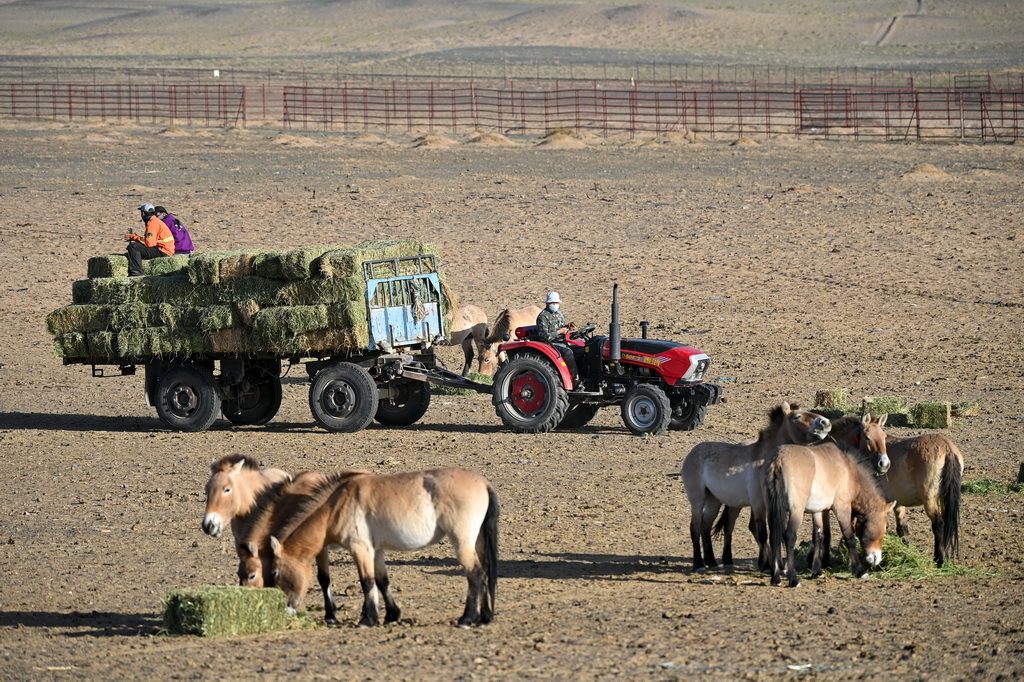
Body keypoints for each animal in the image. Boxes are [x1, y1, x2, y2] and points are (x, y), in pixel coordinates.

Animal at [269, 467, 499, 628]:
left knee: (475, 574)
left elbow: (367, 582)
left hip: (462, 542)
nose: (287, 610)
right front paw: (391, 615)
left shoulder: (360, 549)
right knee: (486, 573)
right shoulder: (376, 551)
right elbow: (382, 581)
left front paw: (367, 620)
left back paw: (466, 619)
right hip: (477, 542)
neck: (336, 505)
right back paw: (484, 617)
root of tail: (484, 483)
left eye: (275, 572)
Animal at [681, 402, 832, 573]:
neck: (765, 460)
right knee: (695, 528)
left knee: (707, 527)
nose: (825, 422)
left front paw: (779, 565)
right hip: (698, 500)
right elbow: (762, 533)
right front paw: (767, 566)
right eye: (797, 416)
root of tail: (692, 453)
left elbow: (775, 532)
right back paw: (699, 565)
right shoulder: (759, 504)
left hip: (714, 501)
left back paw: (713, 561)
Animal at [766, 440, 895, 587]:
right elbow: (849, 537)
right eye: (886, 526)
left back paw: (776, 578)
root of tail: (779, 459)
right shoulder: (842, 508)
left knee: (774, 536)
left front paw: (817, 571)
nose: (876, 559)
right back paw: (793, 578)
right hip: (796, 511)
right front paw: (860, 571)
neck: (849, 470)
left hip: (773, 510)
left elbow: (818, 536)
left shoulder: (818, 511)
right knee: (789, 536)